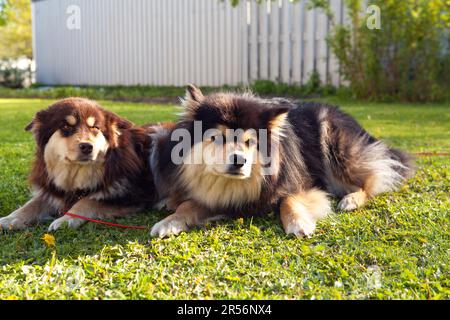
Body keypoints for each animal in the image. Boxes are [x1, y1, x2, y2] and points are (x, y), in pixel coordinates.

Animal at [0, 98, 166, 232]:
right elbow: (32, 204)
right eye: (66, 126)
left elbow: (87, 201)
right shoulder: (52, 190)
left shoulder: (129, 196)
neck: (75, 174)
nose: (87, 146)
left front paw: (65, 219)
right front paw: (11, 218)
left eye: (95, 128)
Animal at [149, 85, 414, 238]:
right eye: (218, 138)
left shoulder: (301, 183)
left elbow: (290, 199)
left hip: (336, 147)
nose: (239, 161)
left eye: (250, 142)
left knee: (371, 180)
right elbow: (188, 205)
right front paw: (169, 222)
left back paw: (351, 199)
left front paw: (298, 223)